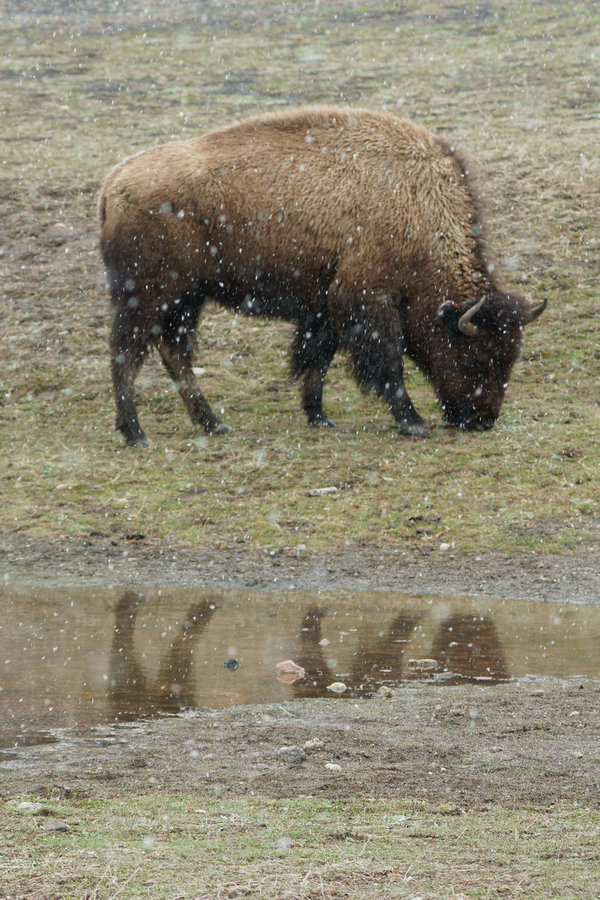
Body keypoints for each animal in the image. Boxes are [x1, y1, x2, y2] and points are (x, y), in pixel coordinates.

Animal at [97, 107, 544, 444]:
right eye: (473, 357)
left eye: (512, 357)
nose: (482, 420)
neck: (417, 204)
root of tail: (113, 183)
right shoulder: (366, 298)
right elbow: (387, 362)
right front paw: (412, 422)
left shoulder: (325, 305)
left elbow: (318, 359)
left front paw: (318, 416)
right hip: (149, 294)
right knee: (127, 353)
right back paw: (136, 433)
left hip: (186, 298)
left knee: (173, 353)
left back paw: (214, 424)